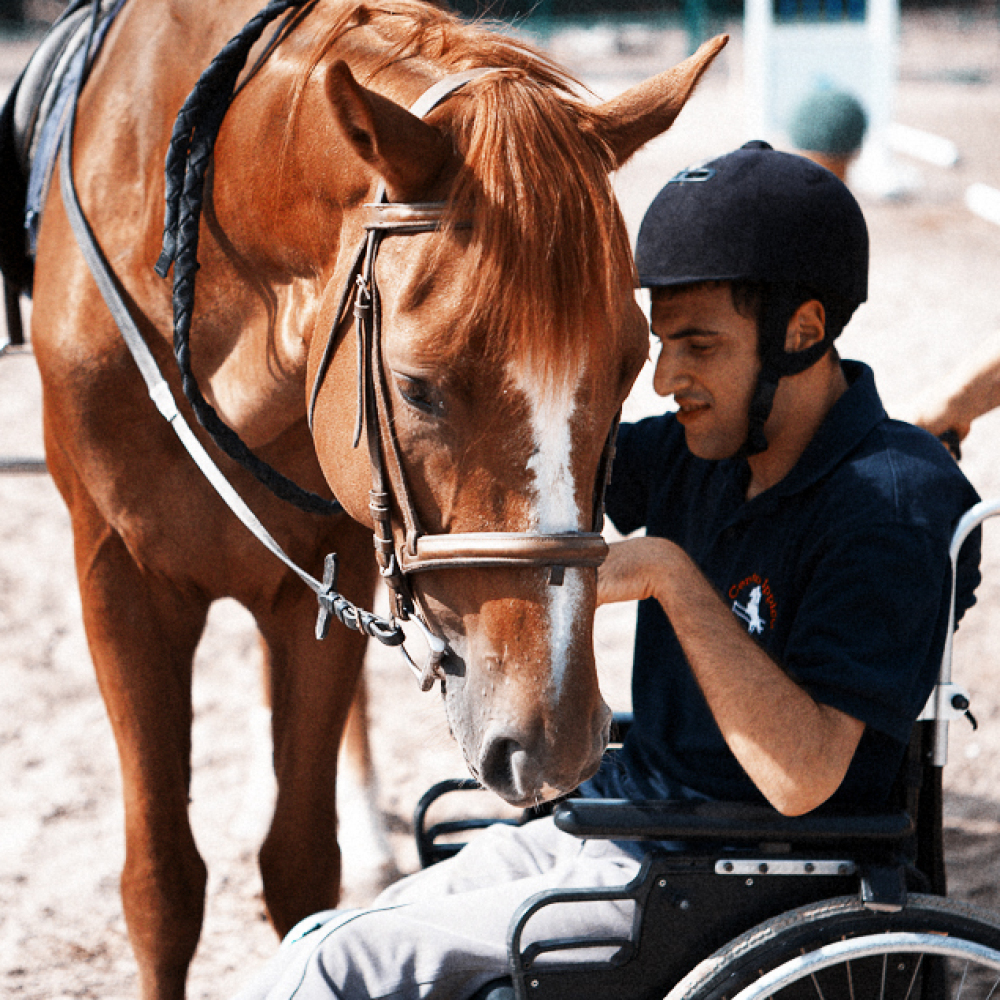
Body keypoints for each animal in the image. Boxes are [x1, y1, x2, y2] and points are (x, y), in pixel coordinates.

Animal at [27, 1, 724, 992]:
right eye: (417, 387)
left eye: (632, 364)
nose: (554, 742)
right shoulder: (119, 580)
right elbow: (161, 882)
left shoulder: (334, 570)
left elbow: (298, 861)